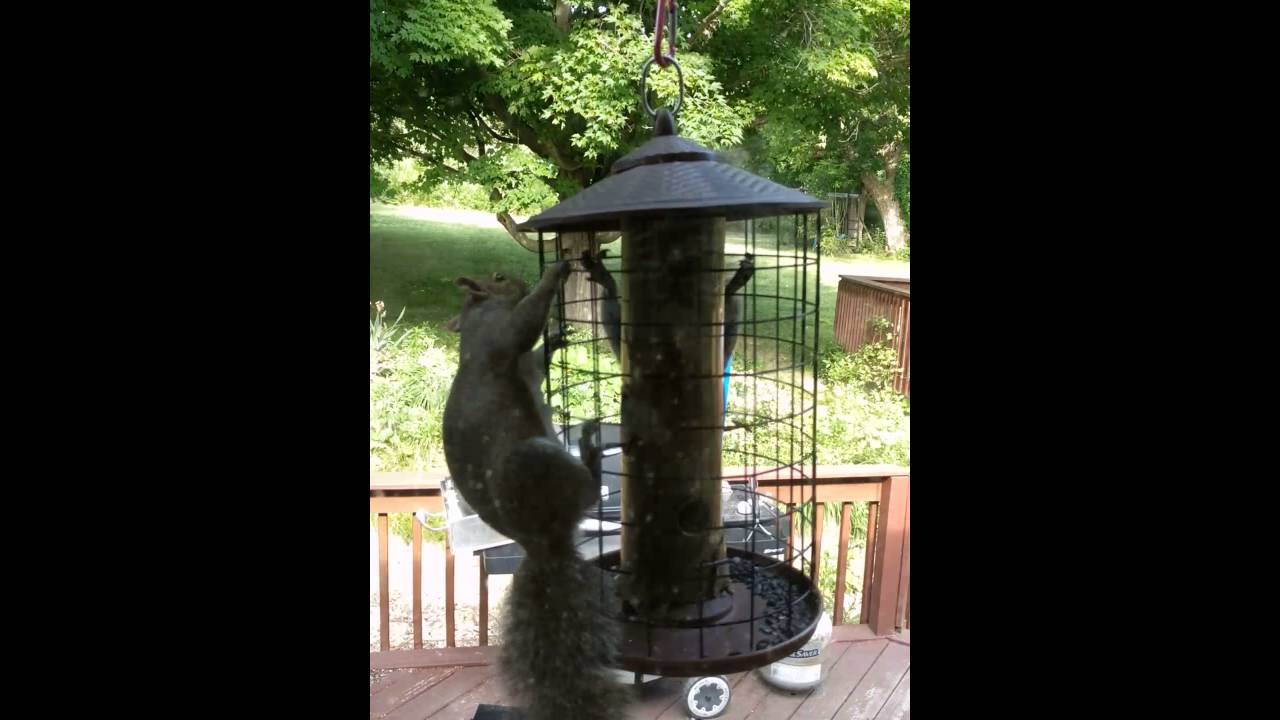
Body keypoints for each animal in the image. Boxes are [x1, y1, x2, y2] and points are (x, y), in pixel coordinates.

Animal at [442, 262, 631, 720]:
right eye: (496, 279)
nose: (516, 277)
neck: (474, 322)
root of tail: (543, 541)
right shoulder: (501, 338)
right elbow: (524, 325)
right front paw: (555, 272)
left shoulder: (525, 365)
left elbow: (537, 361)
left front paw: (558, 338)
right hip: (534, 459)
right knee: (589, 494)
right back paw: (591, 454)